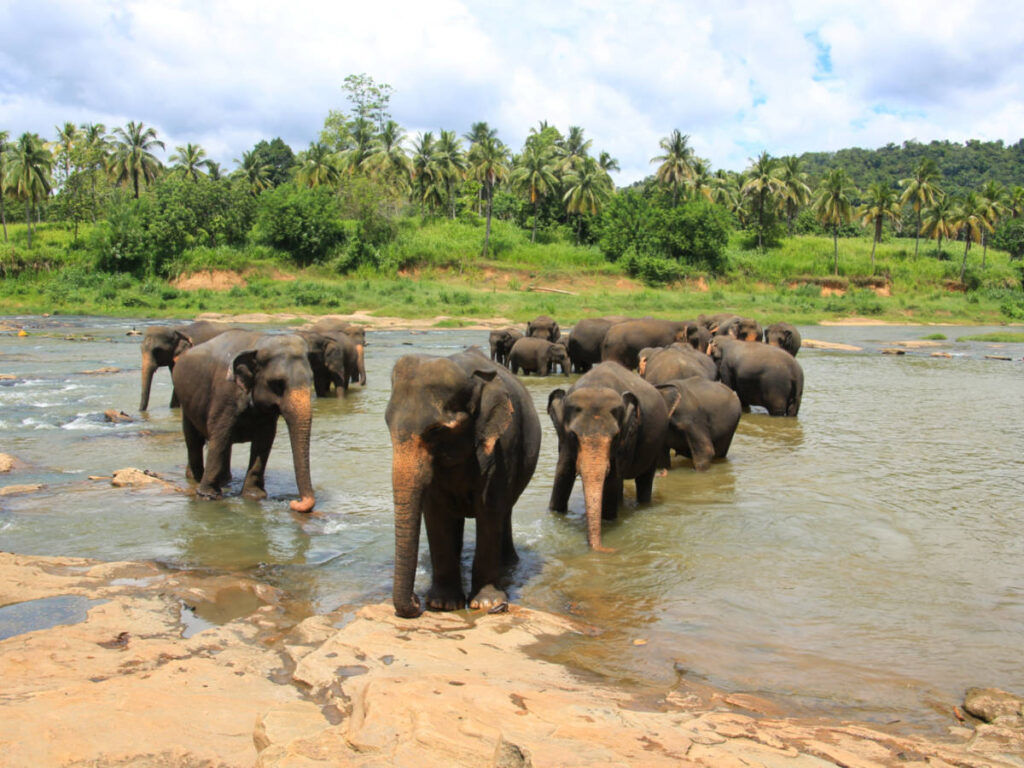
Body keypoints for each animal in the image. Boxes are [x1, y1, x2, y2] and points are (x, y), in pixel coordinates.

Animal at [171, 330, 316, 513]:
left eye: (311, 380)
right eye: (277, 384)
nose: (294, 502)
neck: (260, 343)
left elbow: (264, 441)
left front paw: (254, 496)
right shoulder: (225, 395)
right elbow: (220, 436)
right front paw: (207, 496)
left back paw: (224, 480)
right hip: (186, 403)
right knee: (193, 439)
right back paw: (195, 478)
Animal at [385, 348, 541, 618]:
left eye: (436, 431)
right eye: (387, 424)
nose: (415, 601)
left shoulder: (502, 447)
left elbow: (489, 509)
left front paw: (487, 603)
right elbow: (436, 514)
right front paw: (443, 604)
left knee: (504, 513)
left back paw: (509, 564)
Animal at [548, 362, 669, 552]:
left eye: (615, 436)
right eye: (573, 435)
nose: (609, 549)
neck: (596, 384)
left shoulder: (627, 437)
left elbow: (612, 479)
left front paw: (609, 520)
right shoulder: (564, 440)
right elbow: (563, 474)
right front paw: (555, 514)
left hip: (657, 444)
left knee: (644, 480)